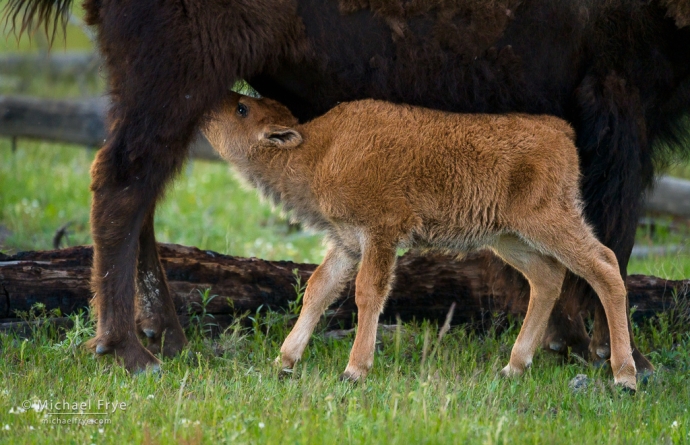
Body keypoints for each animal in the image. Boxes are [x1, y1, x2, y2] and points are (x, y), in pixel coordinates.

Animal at [202, 93, 636, 388]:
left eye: (241, 109)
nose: (212, 102)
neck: (319, 150)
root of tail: (559, 131)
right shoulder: (347, 242)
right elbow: (318, 289)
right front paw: (284, 362)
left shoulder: (379, 233)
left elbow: (367, 292)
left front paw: (354, 370)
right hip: (508, 238)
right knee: (547, 277)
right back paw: (513, 367)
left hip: (549, 221)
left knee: (604, 266)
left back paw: (624, 377)